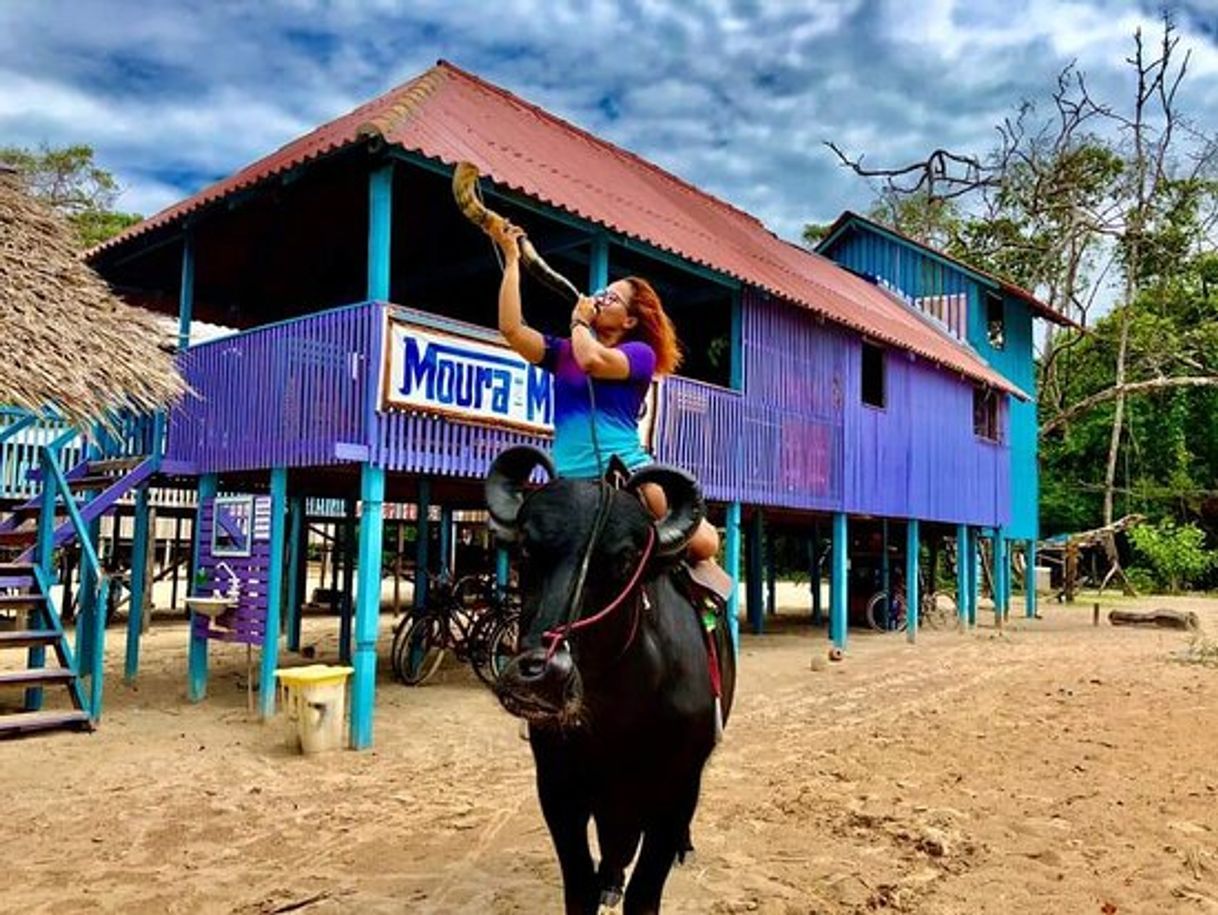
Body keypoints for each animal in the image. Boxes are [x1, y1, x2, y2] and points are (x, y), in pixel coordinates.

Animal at [487, 448, 735, 911]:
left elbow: (644, 893)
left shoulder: (675, 788)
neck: (621, 710)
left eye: (624, 560)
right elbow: (581, 885)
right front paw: (604, 881)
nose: (541, 674)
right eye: (527, 549)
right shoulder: (559, 786)